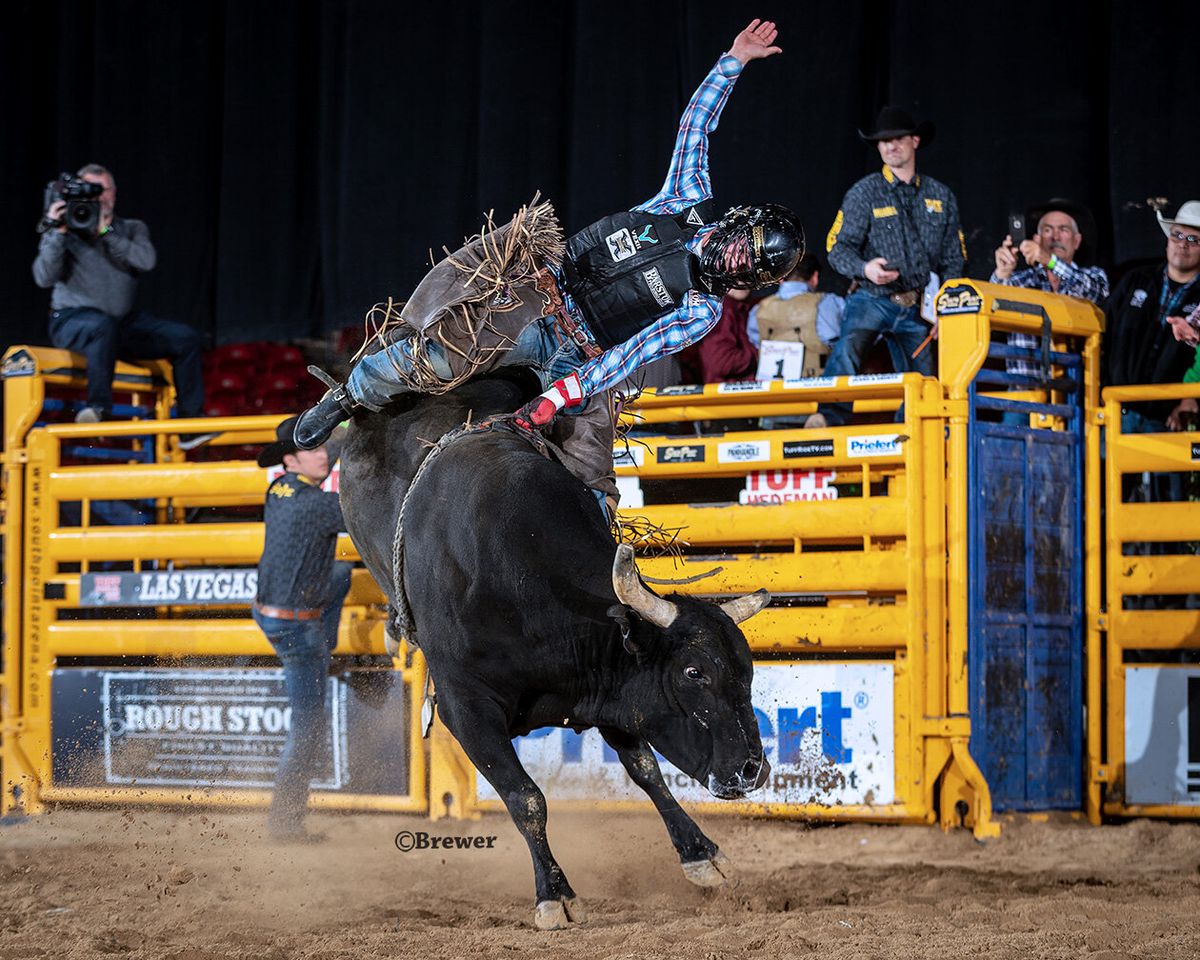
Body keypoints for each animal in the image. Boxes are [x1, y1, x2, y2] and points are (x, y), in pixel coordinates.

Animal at [340, 376, 768, 931]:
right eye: (693, 672)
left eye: (748, 672)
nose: (753, 770)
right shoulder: (464, 706)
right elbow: (526, 798)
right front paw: (555, 895)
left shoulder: (610, 687)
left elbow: (646, 771)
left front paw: (702, 855)